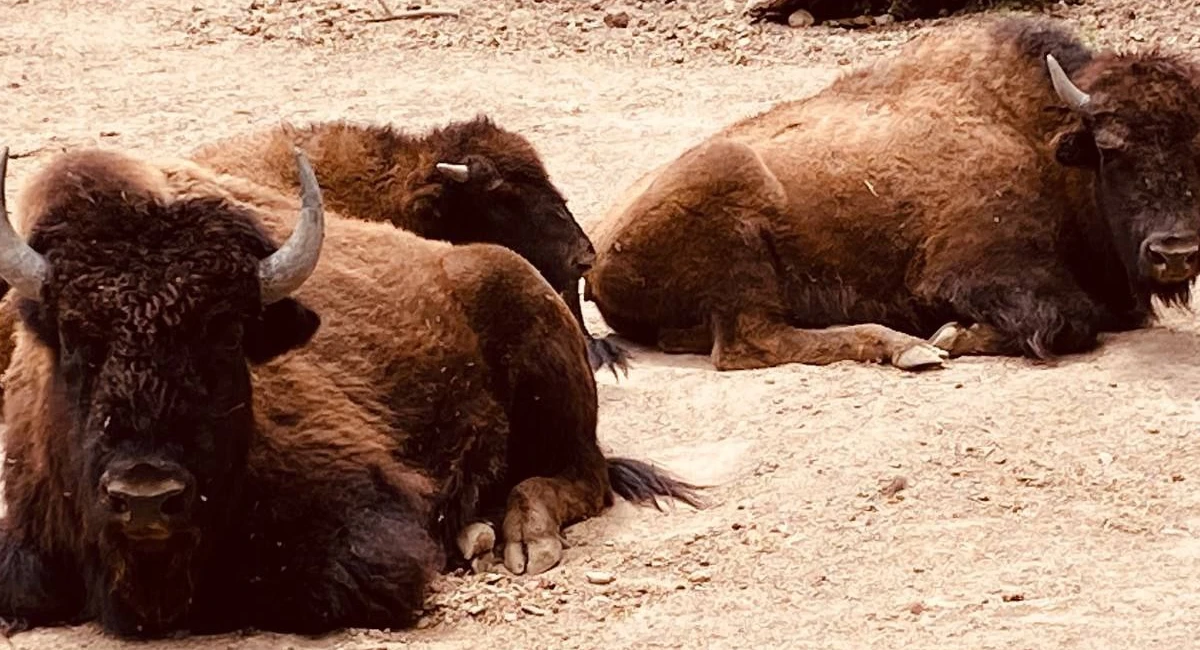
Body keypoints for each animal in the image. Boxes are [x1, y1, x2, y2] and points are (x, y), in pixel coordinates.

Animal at [0, 146, 700, 638]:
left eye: (227, 335)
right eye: (73, 338)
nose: (145, 495)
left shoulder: (364, 524)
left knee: (582, 476)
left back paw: (519, 539)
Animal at [585, 16, 1200, 371]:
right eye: (1114, 151)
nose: (1176, 252)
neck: (1040, 137)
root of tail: (598, 246)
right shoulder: (976, 268)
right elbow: (1068, 321)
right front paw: (951, 335)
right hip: (735, 223)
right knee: (749, 344)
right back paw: (907, 348)